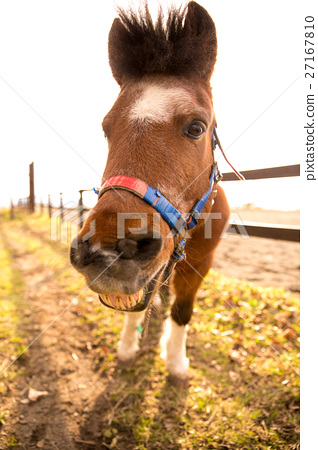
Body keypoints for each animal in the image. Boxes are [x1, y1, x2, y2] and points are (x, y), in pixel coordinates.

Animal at [71, 1, 232, 384]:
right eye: (106, 129)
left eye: (196, 128)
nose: (106, 249)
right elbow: (136, 304)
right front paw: (129, 346)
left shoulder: (201, 264)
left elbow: (182, 311)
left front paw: (175, 363)